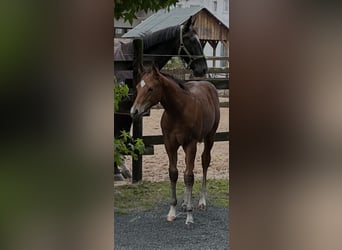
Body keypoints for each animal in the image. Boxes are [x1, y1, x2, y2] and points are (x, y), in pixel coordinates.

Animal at [130, 65, 220, 225]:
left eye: (151, 88)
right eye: (137, 87)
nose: (134, 112)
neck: (178, 111)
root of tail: (209, 85)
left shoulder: (191, 144)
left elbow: (189, 176)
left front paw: (189, 216)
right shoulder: (169, 144)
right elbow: (174, 173)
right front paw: (172, 211)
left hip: (210, 137)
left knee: (204, 162)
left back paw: (201, 201)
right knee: (187, 168)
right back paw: (185, 202)